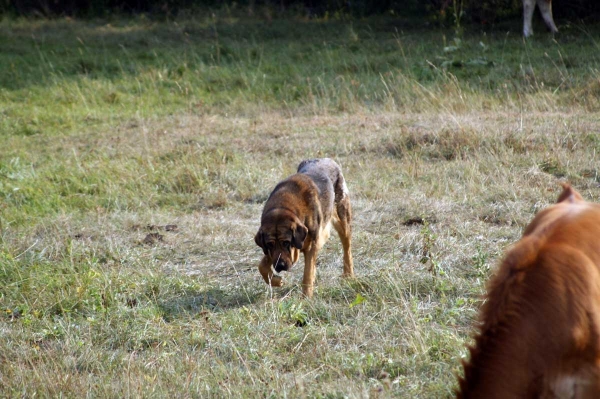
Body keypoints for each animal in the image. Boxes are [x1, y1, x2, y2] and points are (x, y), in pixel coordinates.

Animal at [255, 158, 354, 298]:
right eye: (269, 244)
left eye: (286, 243)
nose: (280, 266)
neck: (284, 207)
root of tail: (328, 159)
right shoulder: (271, 252)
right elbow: (262, 266)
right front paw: (276, 281)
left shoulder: (311, 246)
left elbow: (307, 273)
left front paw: (306, 297)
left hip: (343, 220)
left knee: (347, 248)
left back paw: (348, 274)